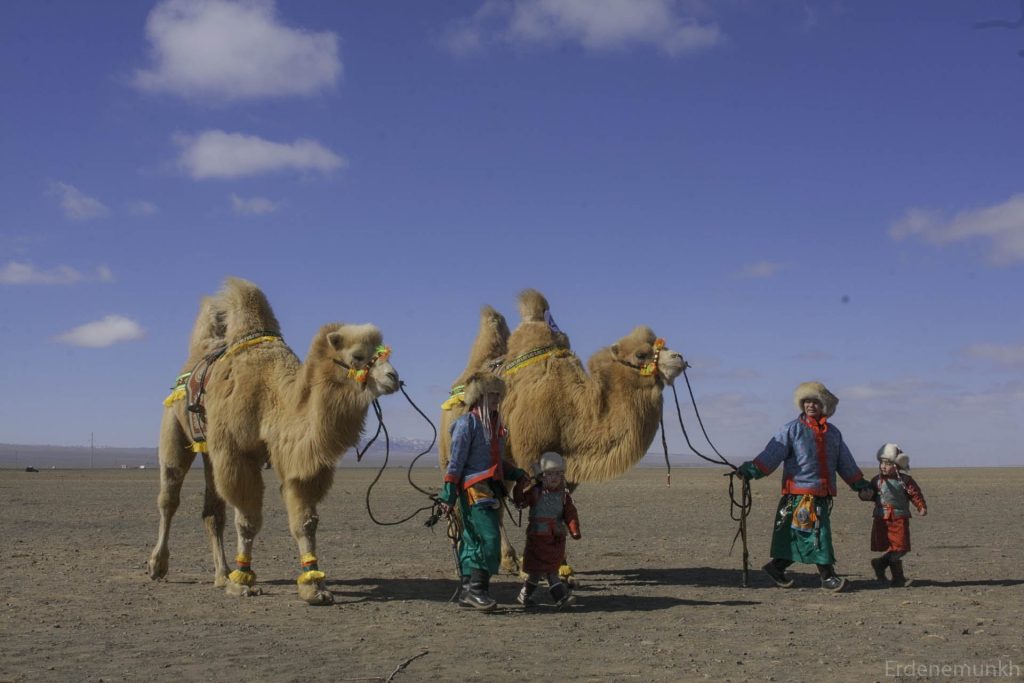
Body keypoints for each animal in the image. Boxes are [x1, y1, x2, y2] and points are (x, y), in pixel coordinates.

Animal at [148, 274, 399, 606]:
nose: (394, 378)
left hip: (210, 451)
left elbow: (305, 522)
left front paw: (314, 586)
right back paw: (158, 566)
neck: (275, 397)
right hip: (175, 429)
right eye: (358, 355)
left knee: (213, 511)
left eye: (385, 353)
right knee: (169, 497)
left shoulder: (296, 461)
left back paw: (221, 574)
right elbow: (248, 520)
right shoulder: (237, 452)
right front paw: (242, 582)